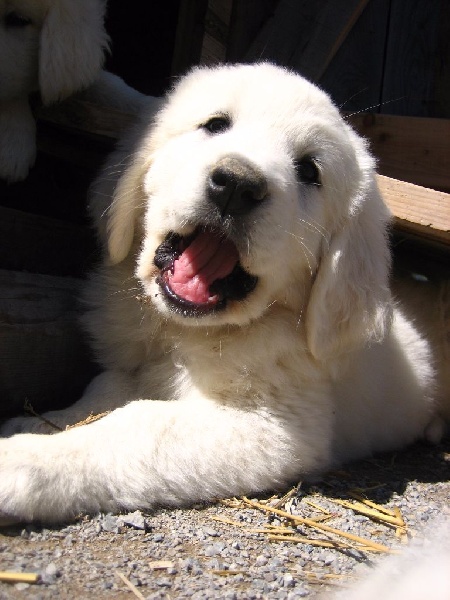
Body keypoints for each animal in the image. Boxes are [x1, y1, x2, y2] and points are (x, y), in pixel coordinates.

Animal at [0, 63, 445, 524]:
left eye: (309, 171)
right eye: (215, 125)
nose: (236, 185)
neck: (183, 333)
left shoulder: (276, 425)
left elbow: (138, 425)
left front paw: (26, 460)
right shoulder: (134, 368)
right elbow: (102, 388)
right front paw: (41, 421)